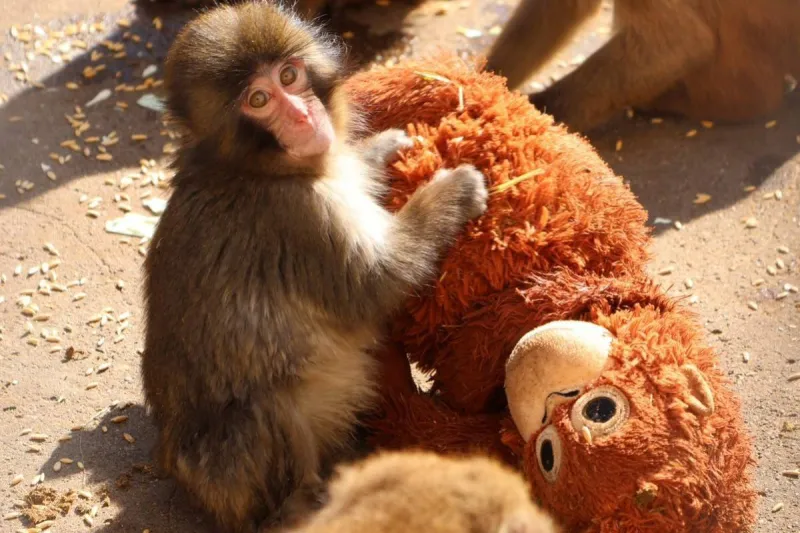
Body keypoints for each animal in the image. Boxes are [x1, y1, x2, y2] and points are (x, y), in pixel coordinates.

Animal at [140, 3, 489, 533]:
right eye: (259, 100)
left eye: (289, 76)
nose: (303, 116)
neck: (255, 168)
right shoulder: (300, 216)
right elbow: (377, 282)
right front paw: (453, 191)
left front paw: (381, 148)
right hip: (230, 477)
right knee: (263, 408)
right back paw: (303, 503)